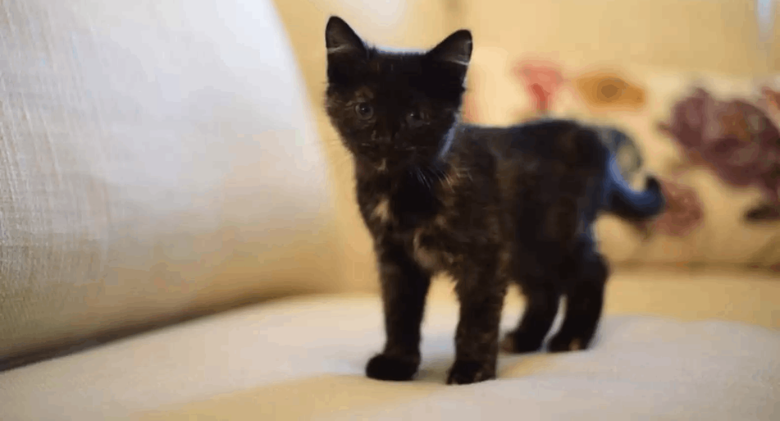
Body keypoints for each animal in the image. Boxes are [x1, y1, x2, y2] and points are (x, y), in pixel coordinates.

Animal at [322, 16, 664, 384]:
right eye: (364, 109)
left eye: (416, 116)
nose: (386, 139)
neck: (404, 189)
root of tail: (592, 136)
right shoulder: (396, 257)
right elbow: (399, 311)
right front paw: (397, 362)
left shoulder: (484, 254)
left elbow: (477, 316)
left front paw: (472, 368)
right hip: (526, 248)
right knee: (545, 289)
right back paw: (526, 337)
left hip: (555, 234)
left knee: (593, 270)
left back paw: (572, 337)